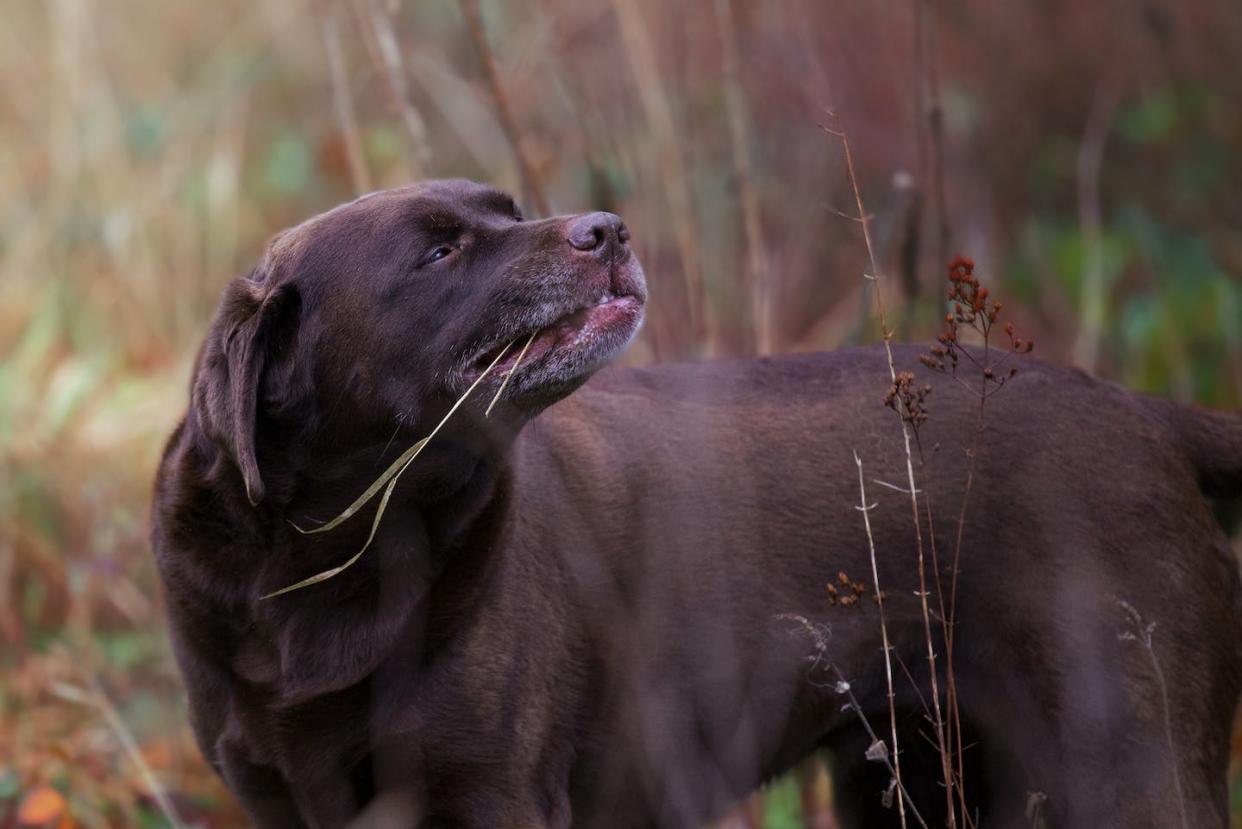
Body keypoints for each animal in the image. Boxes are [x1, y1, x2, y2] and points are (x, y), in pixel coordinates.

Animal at [147, 178, 1242, 825]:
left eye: (506, 205)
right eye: (439, 252)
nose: (608, 226)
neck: (323, 571)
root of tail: (1142, 411)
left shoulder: (492, 795)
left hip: (1125, 762)